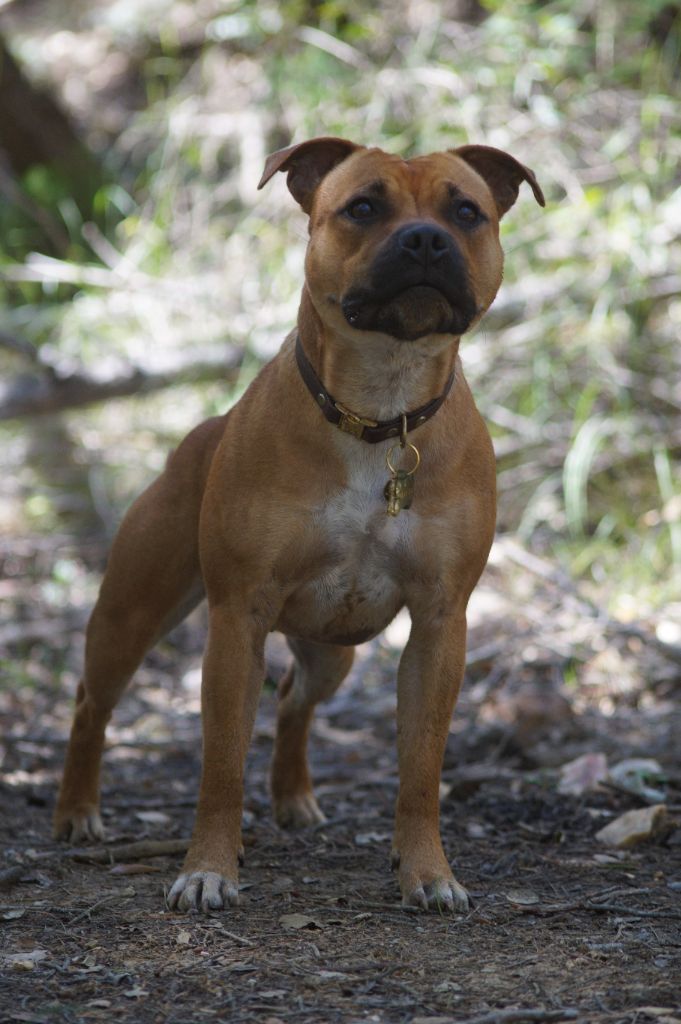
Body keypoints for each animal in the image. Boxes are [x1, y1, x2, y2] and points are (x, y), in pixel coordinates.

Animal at [54, 137, 544, 913]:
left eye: (466, 211)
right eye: (363, 207)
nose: (425, 240)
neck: (379, 411)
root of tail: (199, 435)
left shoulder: (440, 626)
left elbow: (421, 769)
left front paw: (428, 873)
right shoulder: (237, 620)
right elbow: (221, 764)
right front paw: (209, 868)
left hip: (332, 651)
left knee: (292, 700)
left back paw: (294, 800)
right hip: (130, 616)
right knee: (89, 705)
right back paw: (76, 812)